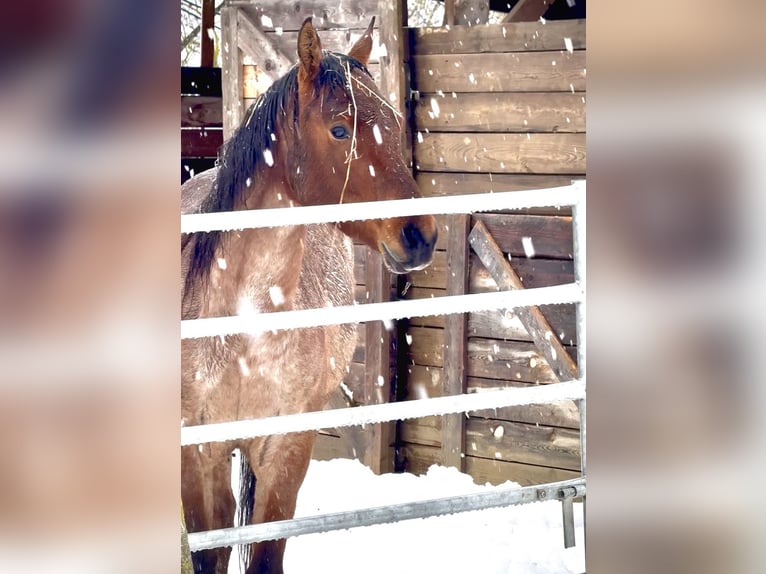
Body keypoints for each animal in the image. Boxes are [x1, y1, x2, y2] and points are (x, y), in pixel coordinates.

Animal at [181, 17, 437, 574]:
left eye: (393, 123)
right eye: (340, 129)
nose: (420, 235)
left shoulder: (287, 451)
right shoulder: (197, 454)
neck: (242, 335)